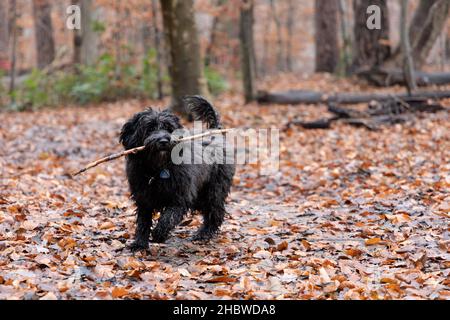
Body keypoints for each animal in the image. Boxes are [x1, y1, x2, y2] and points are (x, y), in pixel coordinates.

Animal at [119, 96, 236, 251]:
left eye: (169, 128)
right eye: (150, 128)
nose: (164, 140)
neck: (157, 169)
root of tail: (214, 132)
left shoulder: (180, 197)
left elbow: (169, 217)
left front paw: (159, 234)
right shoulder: (143, 198)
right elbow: (143, 222)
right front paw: (139, 243)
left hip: (213, 190)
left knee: (215, 211)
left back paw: (204, 234)